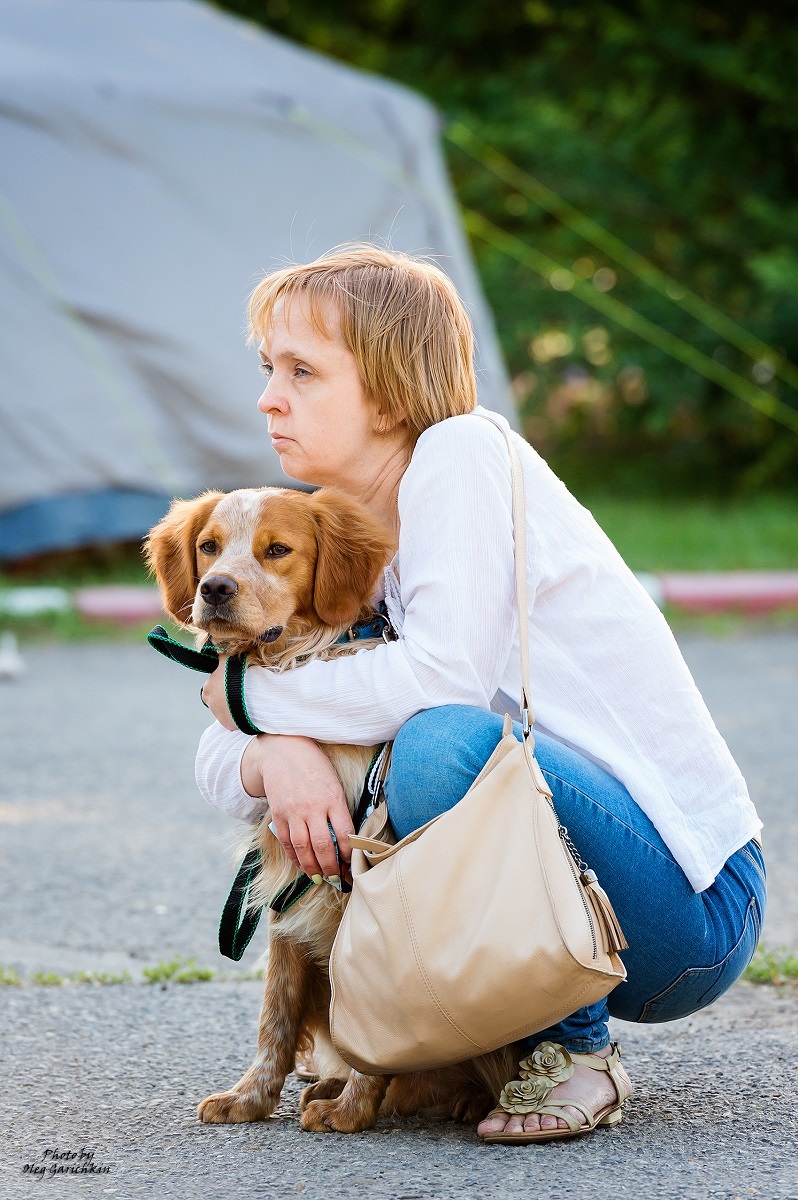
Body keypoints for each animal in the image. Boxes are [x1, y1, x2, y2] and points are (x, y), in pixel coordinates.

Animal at [145, 484, 520, 1132]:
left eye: (276, 549)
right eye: (209, 546)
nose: (214, 588)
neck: (291, 660)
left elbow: (369, 1012)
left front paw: (352, 1109)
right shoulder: (286, 879)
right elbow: (274, 1014)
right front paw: (251, 1097)